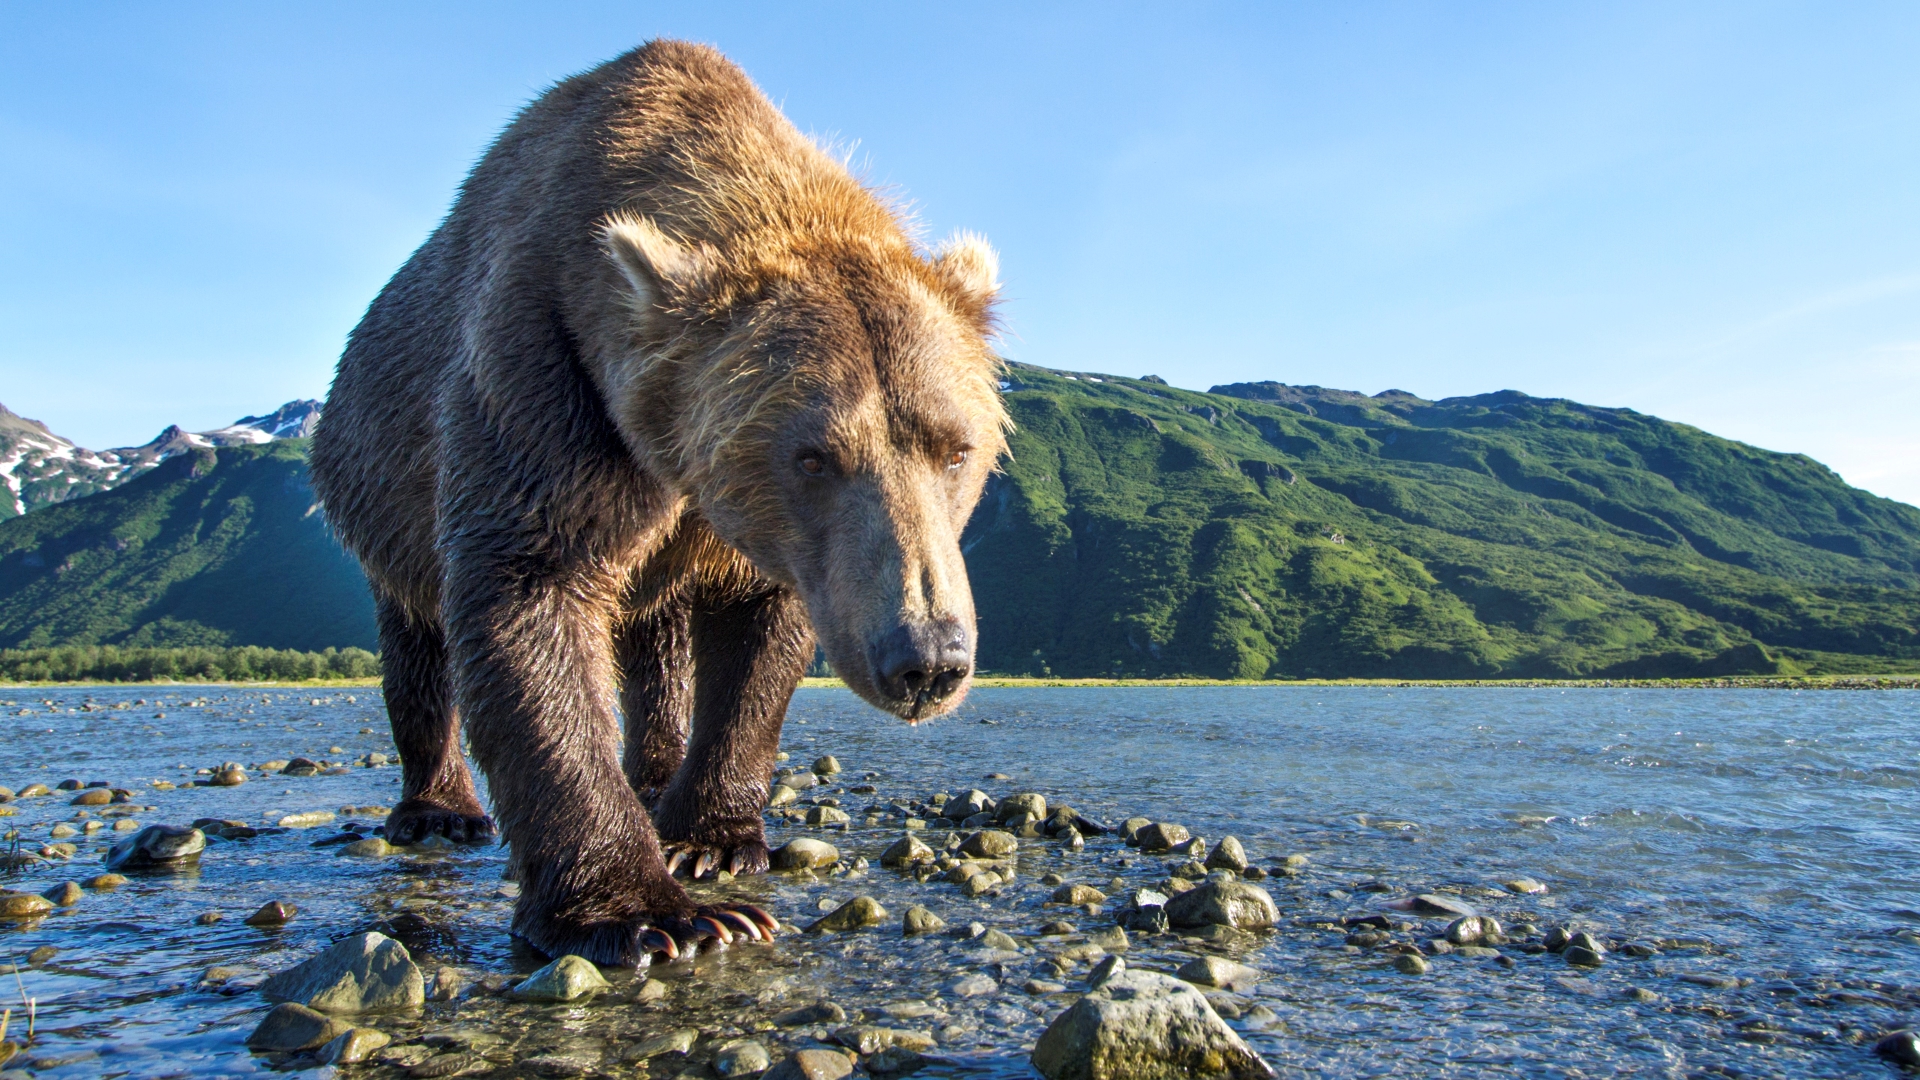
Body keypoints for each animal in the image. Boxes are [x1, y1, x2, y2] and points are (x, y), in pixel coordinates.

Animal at [307, 39, 1013, 957]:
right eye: (813, 456)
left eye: (955, 448)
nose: (926, 659)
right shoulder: (542, 380)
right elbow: (528, 595)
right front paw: (648, 913)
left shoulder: (768, 542)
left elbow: (759, 644)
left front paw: (710, 841)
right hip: (381, 491)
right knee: (417, 641)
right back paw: (439, 808)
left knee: (658, 639)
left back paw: (655, 771)